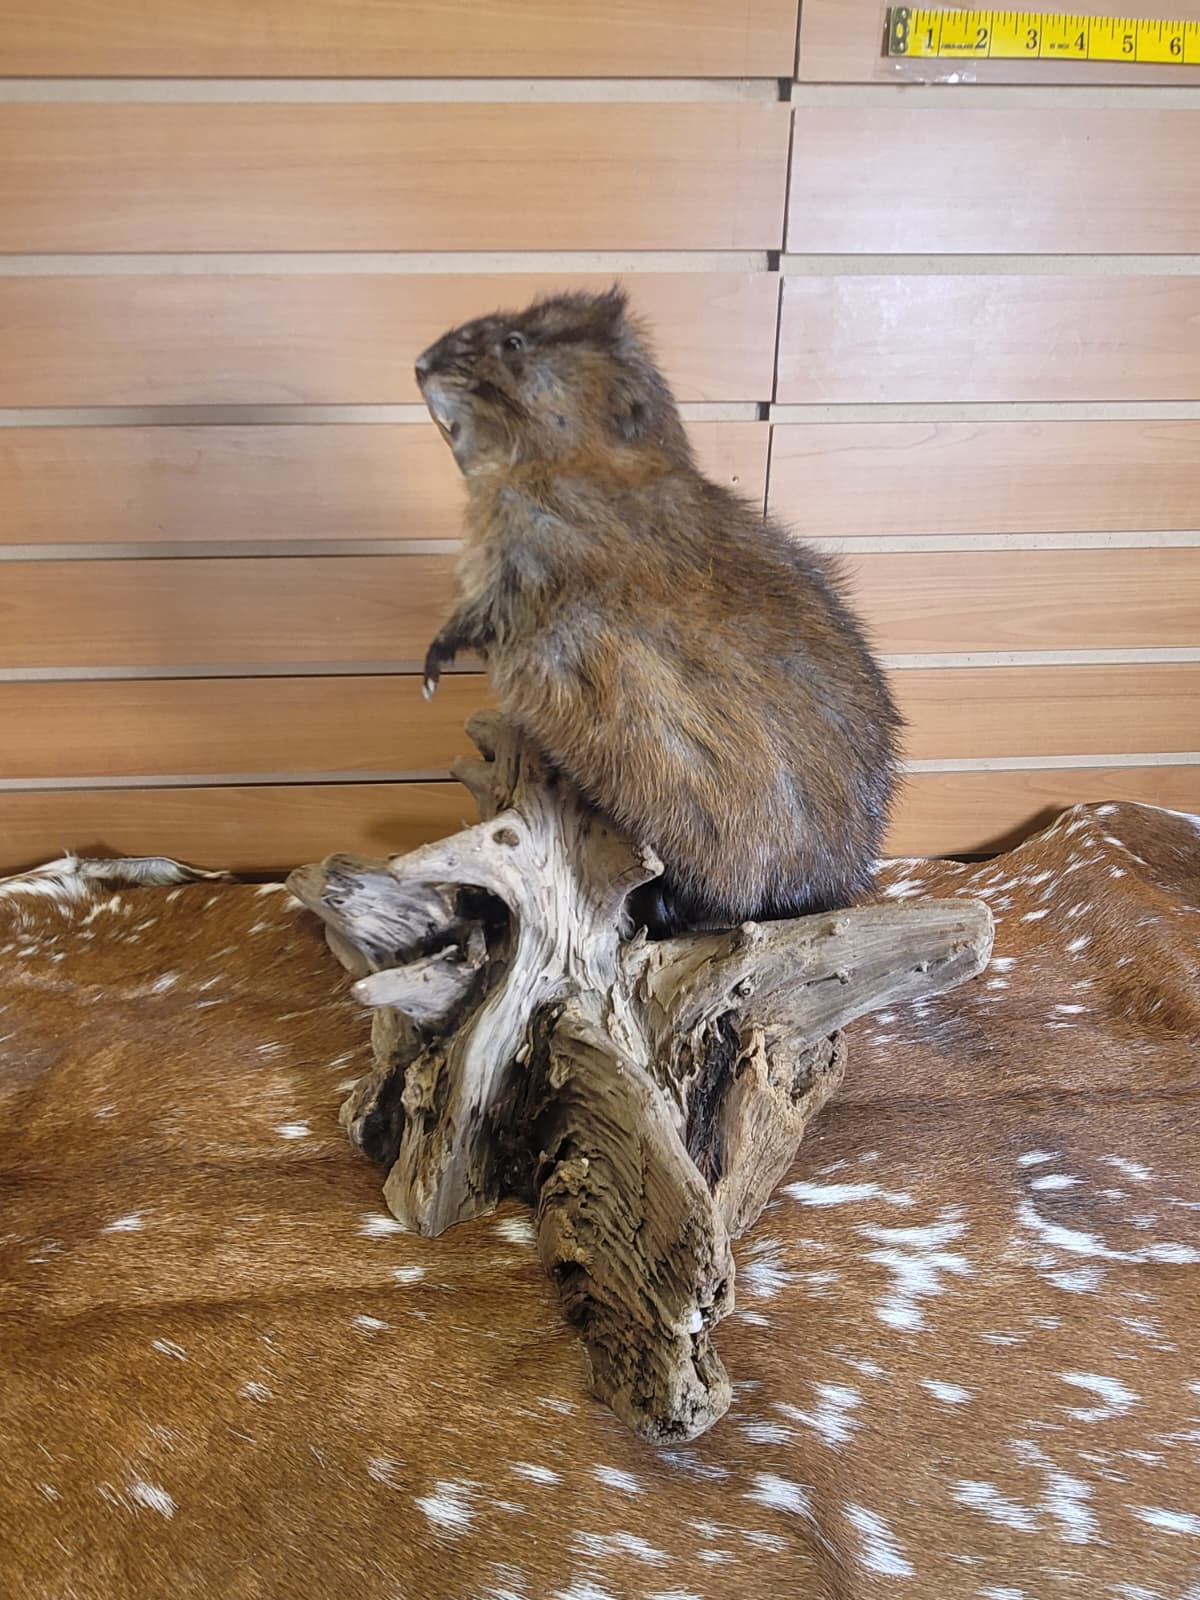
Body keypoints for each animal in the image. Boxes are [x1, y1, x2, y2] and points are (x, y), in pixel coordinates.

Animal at [414, 286, 902, 936]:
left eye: (513, 343)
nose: (421, 364)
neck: (592, 468)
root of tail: (845, 886)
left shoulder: (535, 545)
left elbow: (489, 610)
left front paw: (432, 665)